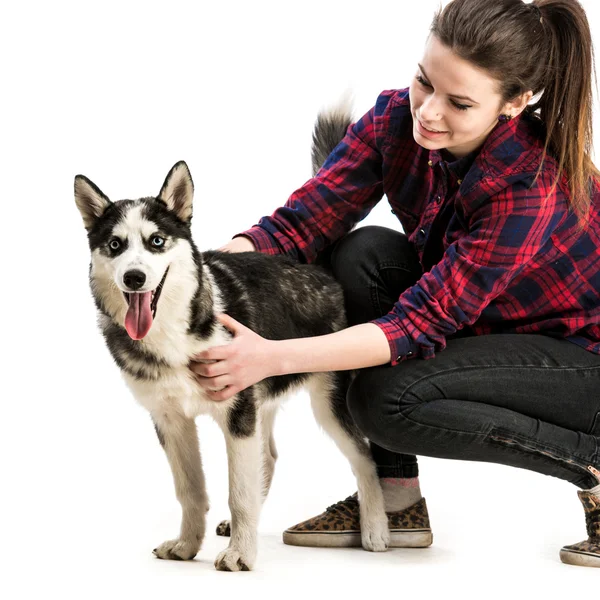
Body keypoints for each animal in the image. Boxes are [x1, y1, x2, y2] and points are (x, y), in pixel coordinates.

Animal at [74, 106, 390, 572]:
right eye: (115, 245)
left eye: (156, 241)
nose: (134, 277)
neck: (175, 331)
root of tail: (317, 265)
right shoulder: (172, 421)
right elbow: (191, 491)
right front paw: (187, 545)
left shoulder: (239, 414)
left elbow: (238, 491)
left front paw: (241, 552)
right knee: (268, 456)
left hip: (329, 402)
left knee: (364, 456)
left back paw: (376, 526)